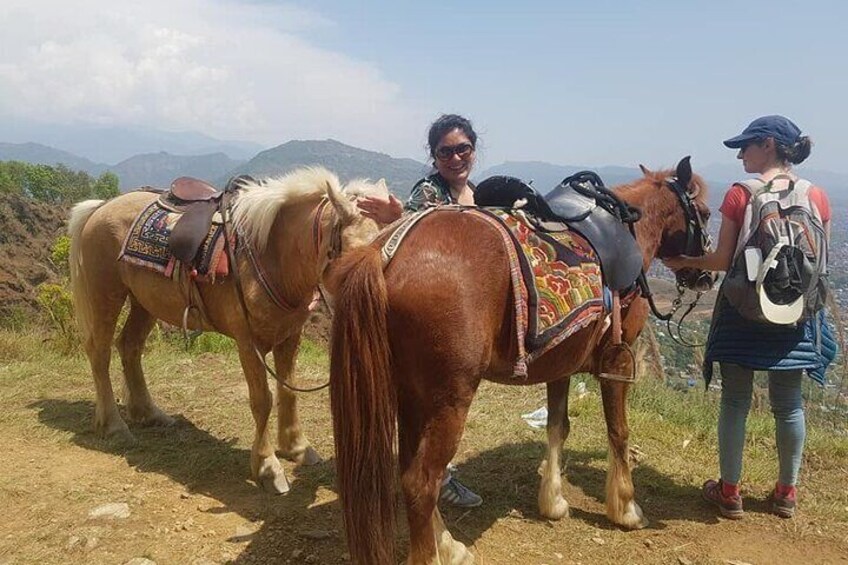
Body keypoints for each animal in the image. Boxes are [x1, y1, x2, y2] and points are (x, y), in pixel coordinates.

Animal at [68, 165, 386, 492]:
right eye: (354, 254)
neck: (272, 254)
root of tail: (101, 206)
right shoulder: (248, 342)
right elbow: (262, 400)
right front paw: (267, 467)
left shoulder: (290, 335)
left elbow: (288, 390)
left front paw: (297, 448)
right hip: (105, 294)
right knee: (100, 354)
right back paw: (114, 426)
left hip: (144, 301)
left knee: (130, 346)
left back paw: (150, 413)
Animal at [328, 156, 712, 560]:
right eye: (704, 212)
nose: (706, 275)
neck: (626, 231)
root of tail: (384, 254)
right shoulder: (617, 362)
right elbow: (619, 432)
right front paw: (626, 508)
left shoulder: (562, 360)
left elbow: (558, 426)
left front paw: (553, 501)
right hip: (448, 400)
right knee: (421, 481)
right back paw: (435, 553)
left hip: (410, 394)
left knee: (408, 472)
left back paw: (449, 545)